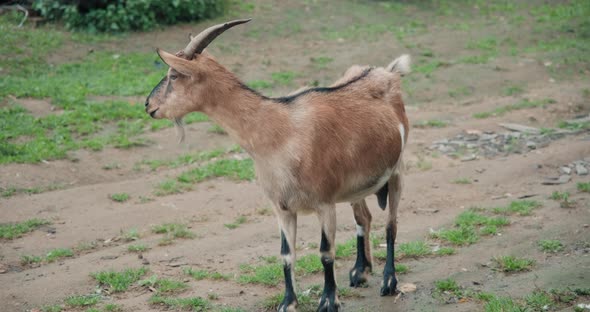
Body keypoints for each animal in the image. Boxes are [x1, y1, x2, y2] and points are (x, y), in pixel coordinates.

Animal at [146, 19, 410, 312]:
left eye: (174, 75)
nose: (148, 105)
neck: (279, 133)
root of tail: (387, 72)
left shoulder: (324, 203)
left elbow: (325, 252)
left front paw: (328, 301)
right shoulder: (282, 207)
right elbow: (286, 254)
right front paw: (288, 302)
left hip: (396, 171)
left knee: (391, 225)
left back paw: (389, 282)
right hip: (356, 186)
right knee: (364, 217)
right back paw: (360, 272)